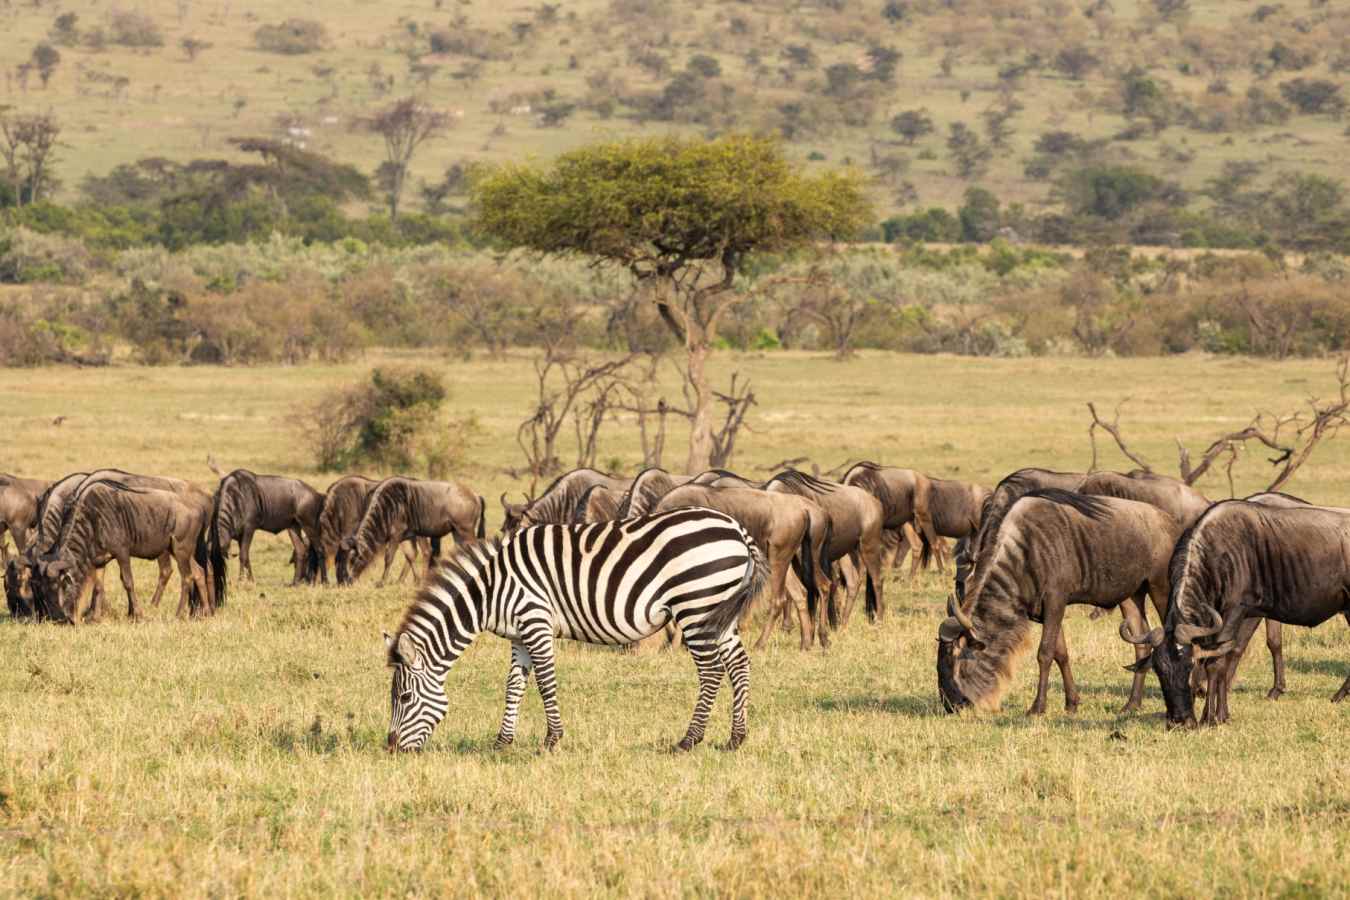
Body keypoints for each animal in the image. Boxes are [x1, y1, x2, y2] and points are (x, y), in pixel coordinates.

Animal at [383, 506, 768, 753]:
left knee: (711, 671)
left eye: (404, 697)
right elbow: (514, 686)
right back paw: (736, 739)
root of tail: (736, 527)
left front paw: (552, 740)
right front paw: (501, 743)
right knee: (738, 665)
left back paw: (689, 740)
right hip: (720, 611)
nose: (392, 748)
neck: (490, 590)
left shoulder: (535, 620)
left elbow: (545, 682)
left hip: (697, 606)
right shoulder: (519, 634)